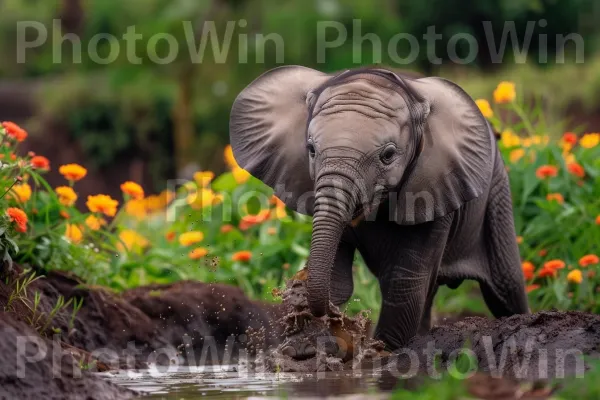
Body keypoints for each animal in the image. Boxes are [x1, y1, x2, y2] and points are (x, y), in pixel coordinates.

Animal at [227, 67, 528, 352]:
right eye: (310, 149)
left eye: (388, 155)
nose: (295, 285)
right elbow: (338, 280)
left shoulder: (437, 186)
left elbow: (403, 286)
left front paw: (379, 354)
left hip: (497, 193)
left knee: (506, 290)